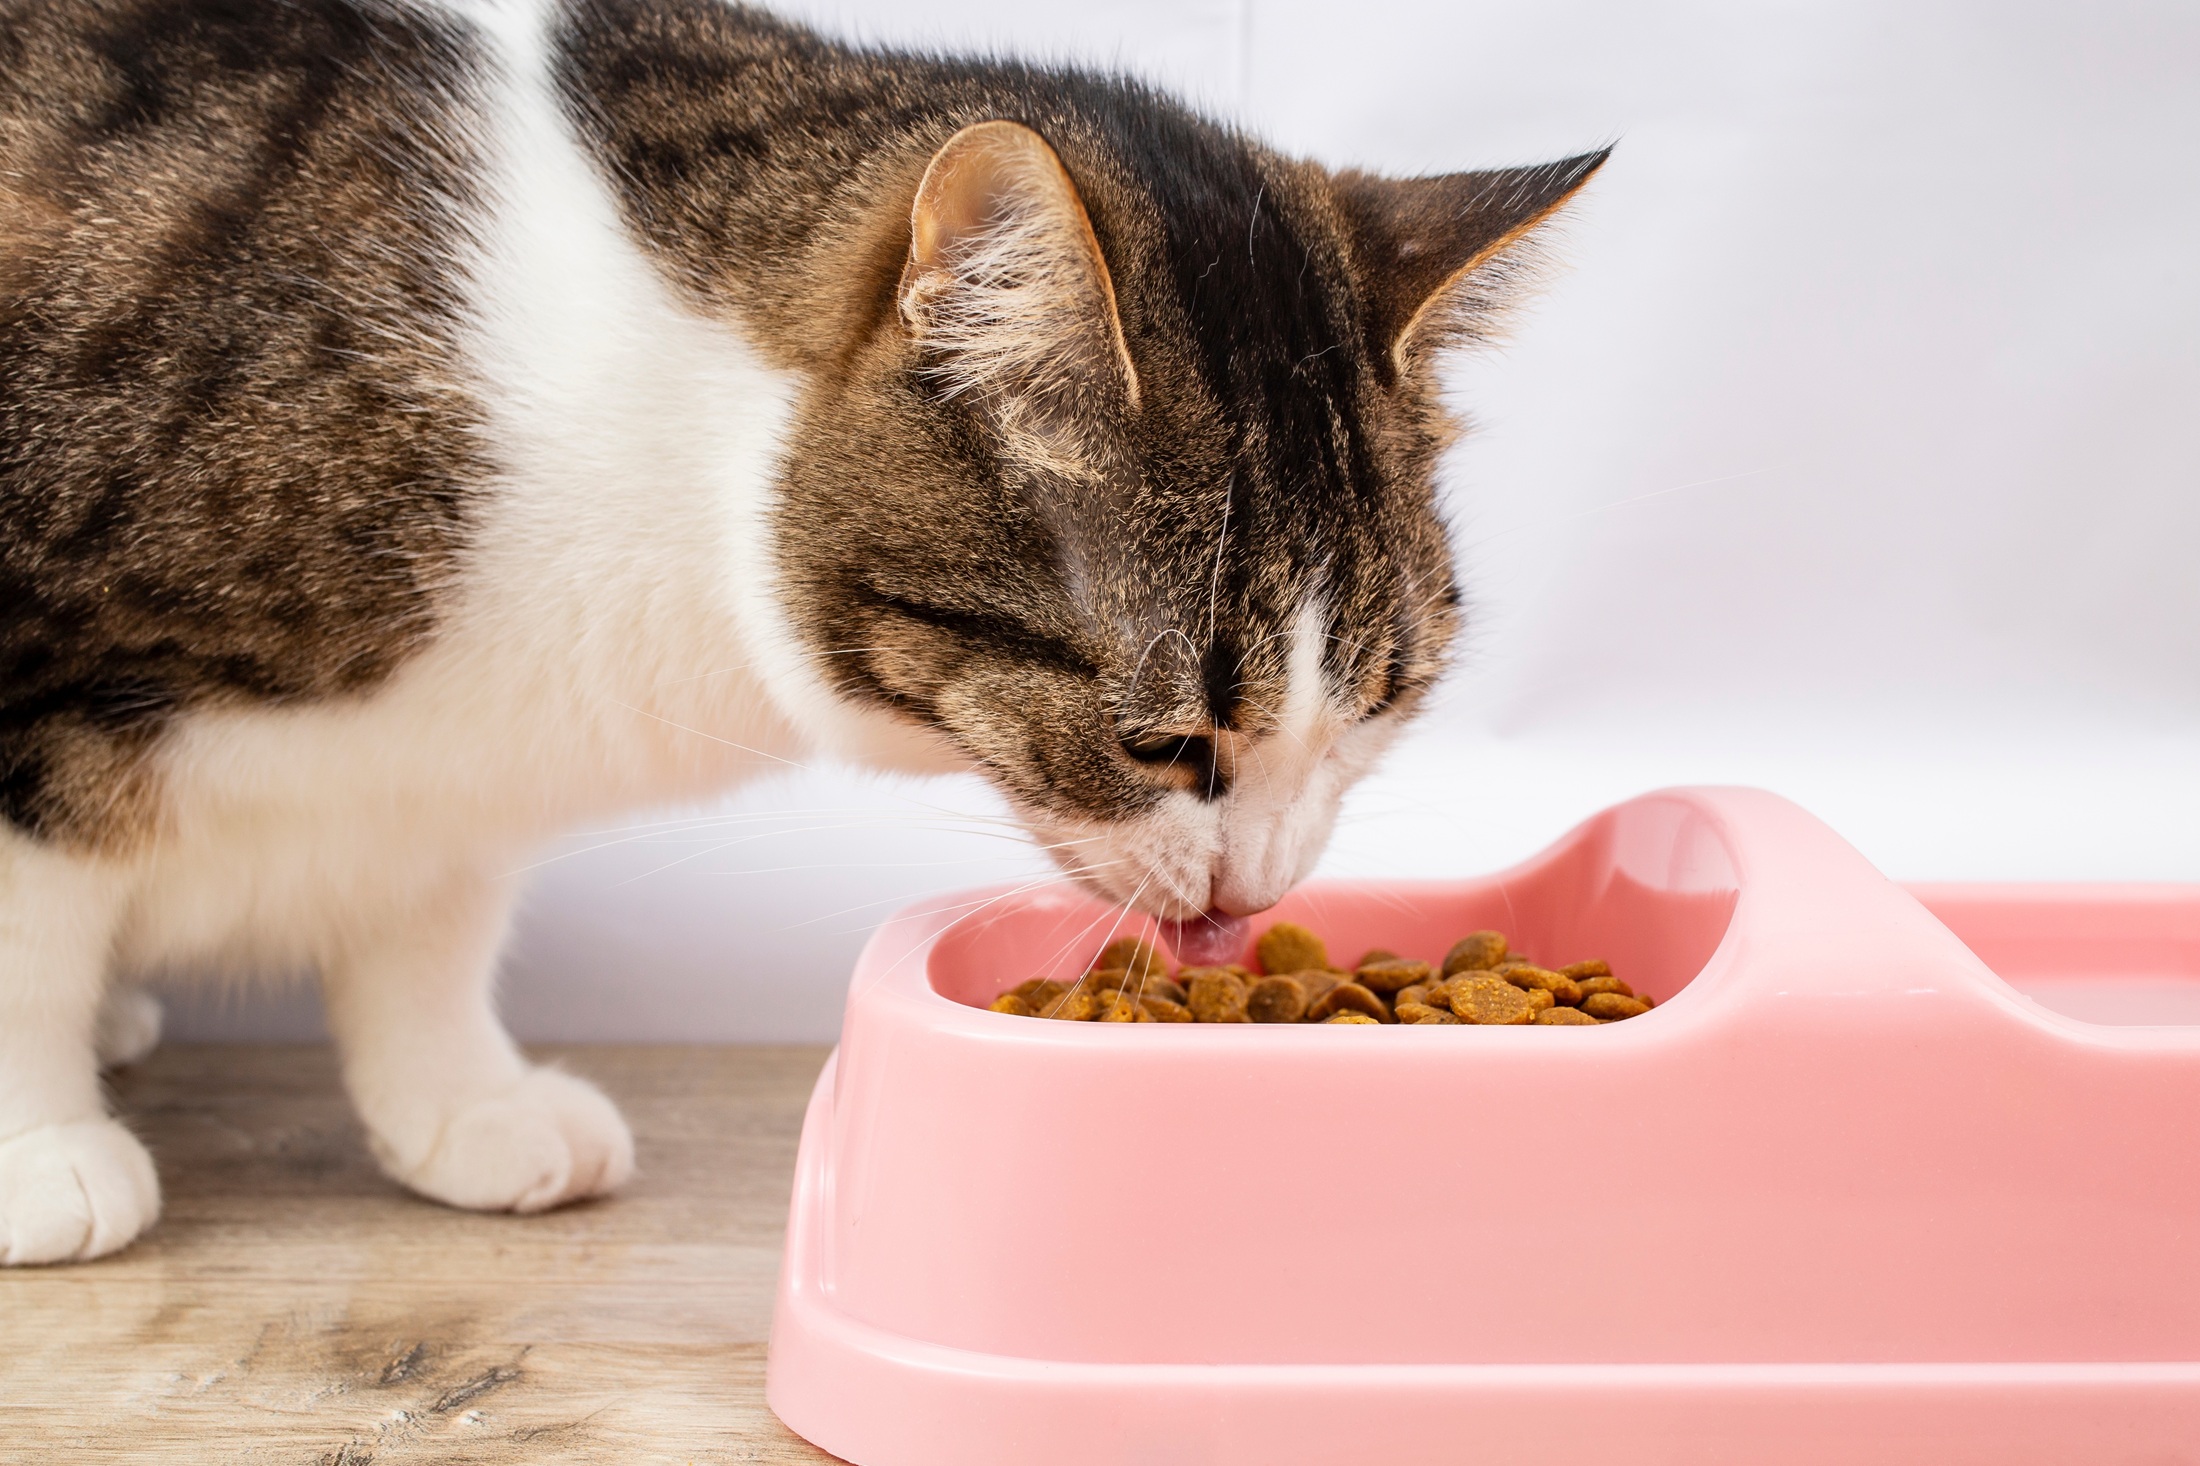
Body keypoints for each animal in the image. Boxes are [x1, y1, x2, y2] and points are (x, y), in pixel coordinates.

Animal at [0, 0, 1601, 1259]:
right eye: (1163, 742)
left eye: (1374, 714)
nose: (1253, 895)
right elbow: (31, 910)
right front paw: (39, 1152)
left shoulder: (454, 751)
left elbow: (431, 917)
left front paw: (466, 1101)